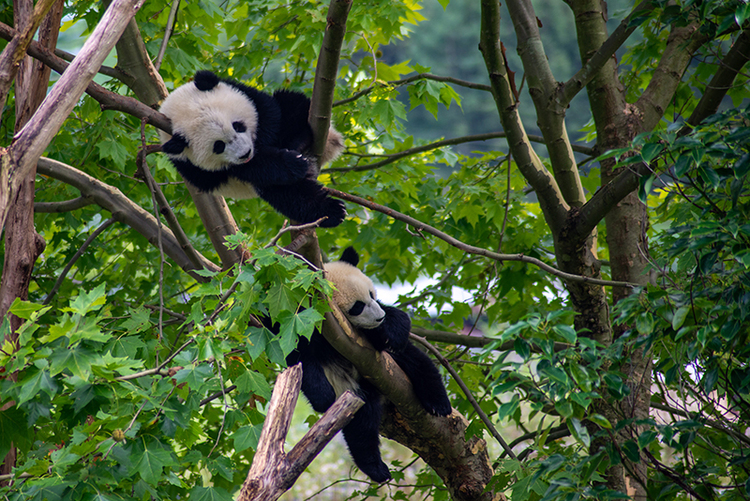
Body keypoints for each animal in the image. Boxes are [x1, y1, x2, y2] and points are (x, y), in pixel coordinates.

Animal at [160, 69, 348, 228]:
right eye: (218, 146)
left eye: (238, 126)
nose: (246, 153)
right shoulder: (192, 166)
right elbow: (247, 169)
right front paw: (290, 163)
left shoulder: (246, 93)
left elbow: (270, 114)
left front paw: (286, 144)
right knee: (290, 195)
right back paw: (332, 212)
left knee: (292, 102)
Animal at [286, 246, 452, 480]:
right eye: (357, 306)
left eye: (372, 294)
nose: (379, 318)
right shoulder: (293, 325)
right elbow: (299, 358)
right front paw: (322, 396)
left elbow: (397, 322)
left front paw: (392, 330)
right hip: (350, 390)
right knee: (362, 426)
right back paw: (375, 467)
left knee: (419, 363)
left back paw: (438, 404)